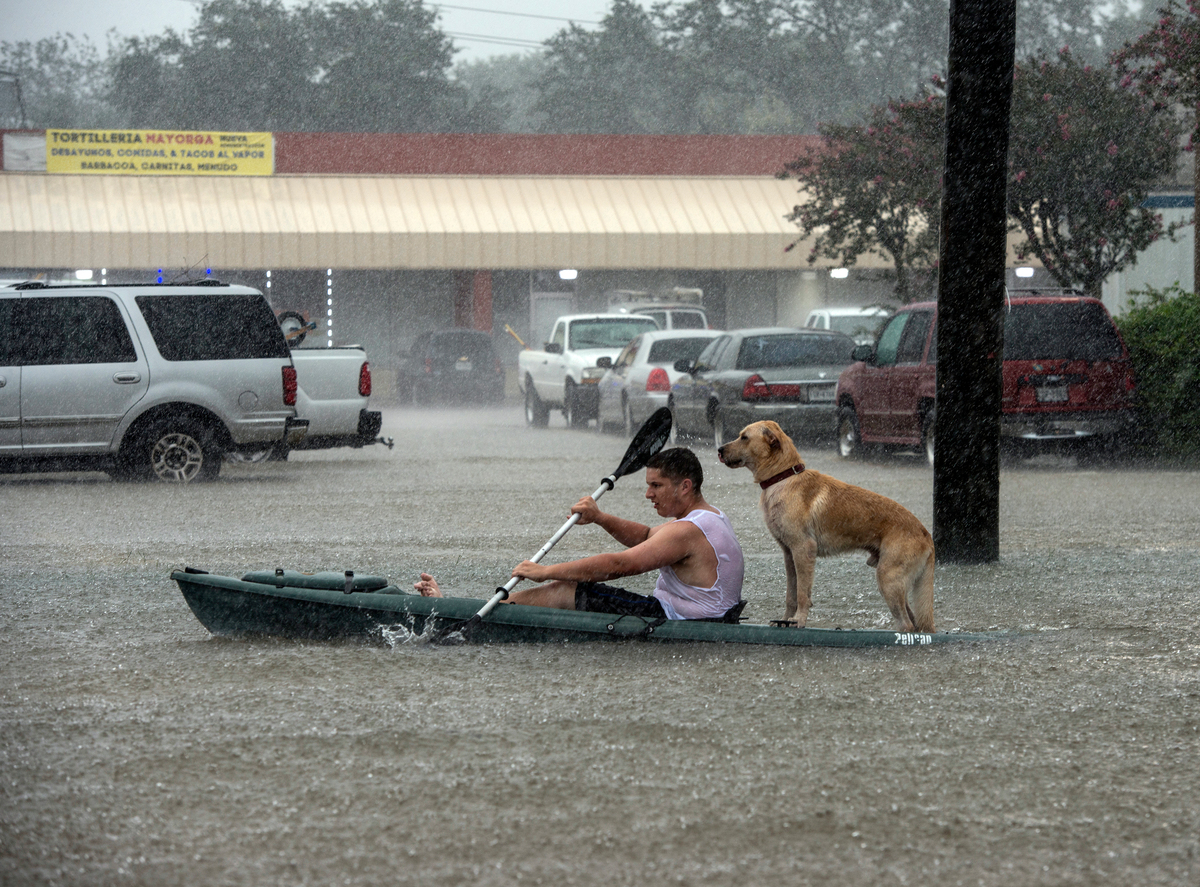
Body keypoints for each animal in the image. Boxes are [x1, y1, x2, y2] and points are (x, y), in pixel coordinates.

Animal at [715, 422, 931, 633]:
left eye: (744, 437)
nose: (719, 449)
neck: (783, 477)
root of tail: (927, 535)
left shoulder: (803, 550)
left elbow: (802, 594)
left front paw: (799, 620)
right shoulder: (789, 554)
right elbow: (791, 595)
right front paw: (785, 620)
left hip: (888, 579)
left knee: (907, 625)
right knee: (913, 623)